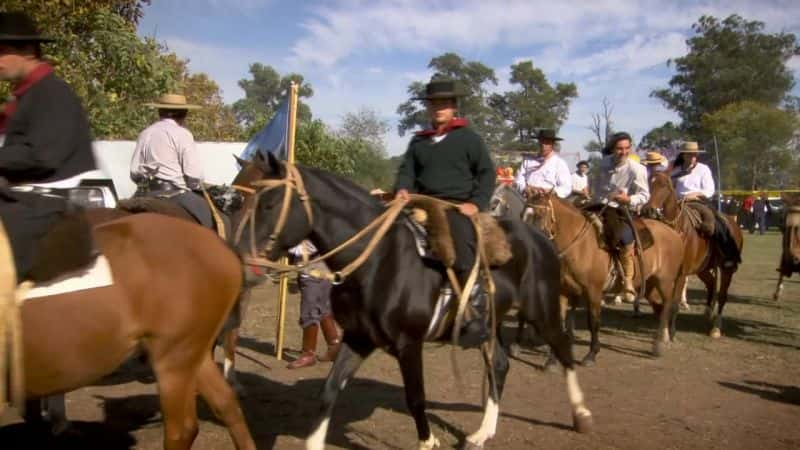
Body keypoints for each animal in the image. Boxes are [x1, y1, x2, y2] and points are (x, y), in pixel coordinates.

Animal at [524, 192, 688, 360]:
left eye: (539, 214)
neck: (580, 246)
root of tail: (674, 234)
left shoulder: (594, 291)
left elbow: (593, 322)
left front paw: (591, 354)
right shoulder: (564, 290)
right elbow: (562, 320)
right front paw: (552, 359)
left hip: (665, 281)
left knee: (667, 304)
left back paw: (658, 346)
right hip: (650, 285)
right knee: (660, 307)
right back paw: (664, 339)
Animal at [640, 172, 748, 338]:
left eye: (665, 185)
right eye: (650, 183)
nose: (648, 210)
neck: (678, 230)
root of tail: (734, 224)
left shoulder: (682, 273)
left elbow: (674, 302)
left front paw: (670, 333)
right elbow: (656, 297)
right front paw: (663, 328)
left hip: (726, 268)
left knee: (722, 295)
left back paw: (716, 328)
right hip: (703, 269)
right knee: (711, 284)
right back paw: (707, 313)